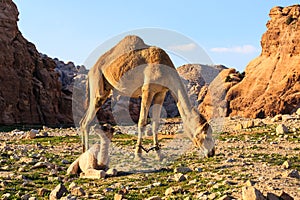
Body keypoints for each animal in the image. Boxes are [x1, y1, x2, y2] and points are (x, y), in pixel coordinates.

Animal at [79, 35, 216, 161]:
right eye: (205, 135)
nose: (212, 152)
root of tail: (91, 70)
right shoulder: (147, 90)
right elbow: (142, 122)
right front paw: (138, 154)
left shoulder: (161, 92)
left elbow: (155, 123)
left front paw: (159, 154)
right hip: (98, 82)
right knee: (86, 120)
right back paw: (86, 154)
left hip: (105, 88)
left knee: (84, 120)